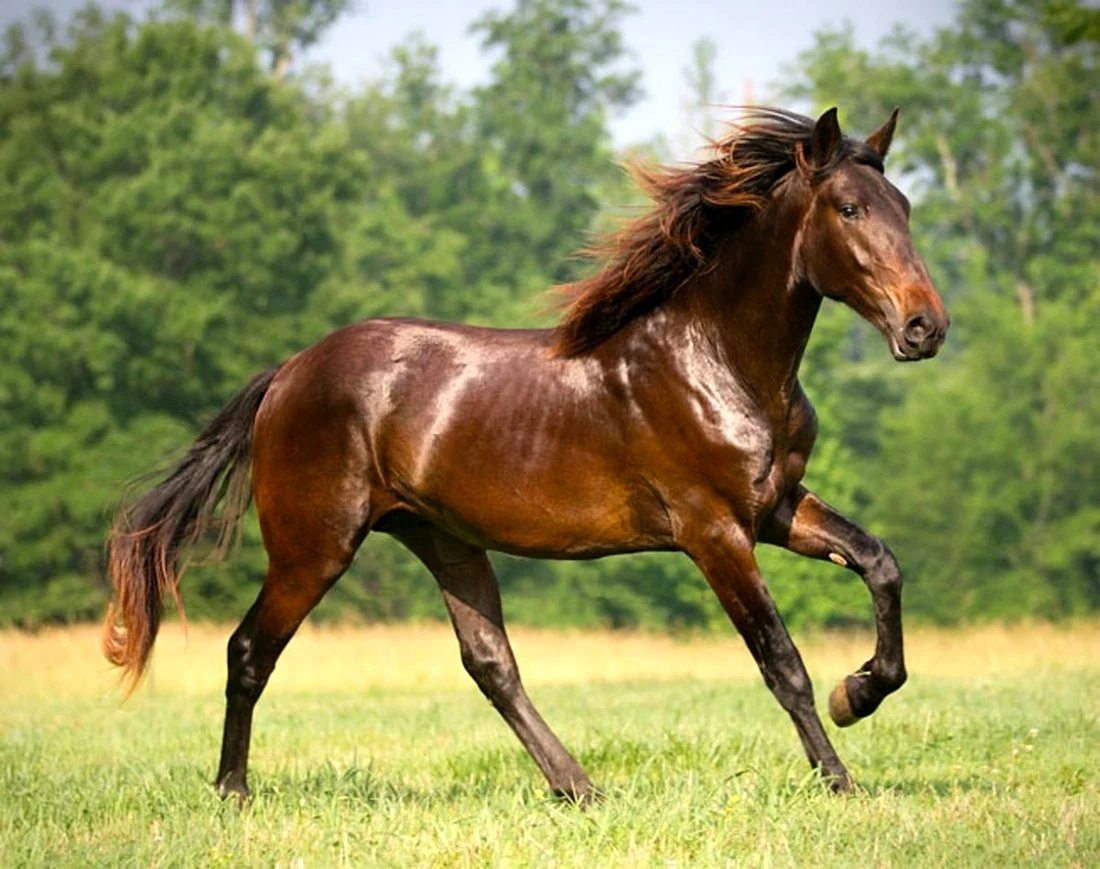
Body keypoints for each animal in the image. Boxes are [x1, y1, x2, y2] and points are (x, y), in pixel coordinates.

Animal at [102, 106, 949, 801]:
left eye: (906, 208)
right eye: (849, 208)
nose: (925, 327)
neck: (717, 360)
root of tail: (286, 374)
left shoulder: (774, 509)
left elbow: (880, 562)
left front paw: (861, 690)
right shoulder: (714, 532)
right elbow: (782, 660)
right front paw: (840, 775)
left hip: (441, 538)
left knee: (491, 664)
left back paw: (578, 786)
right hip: (314, 546)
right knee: (249, 649)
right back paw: (232, 791)